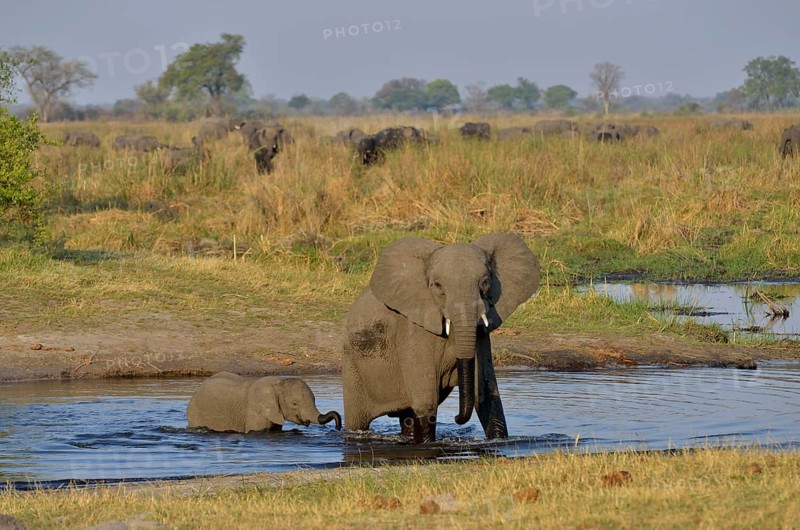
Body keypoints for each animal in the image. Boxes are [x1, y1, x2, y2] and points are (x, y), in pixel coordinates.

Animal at [342, 233, 540, 444]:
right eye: (437, 285)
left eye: (485, 282)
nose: (456, 418)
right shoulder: (413, 330)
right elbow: (426, 401)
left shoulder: (481, 336)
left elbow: (488, 394)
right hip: (353, 368)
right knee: (358, 420)